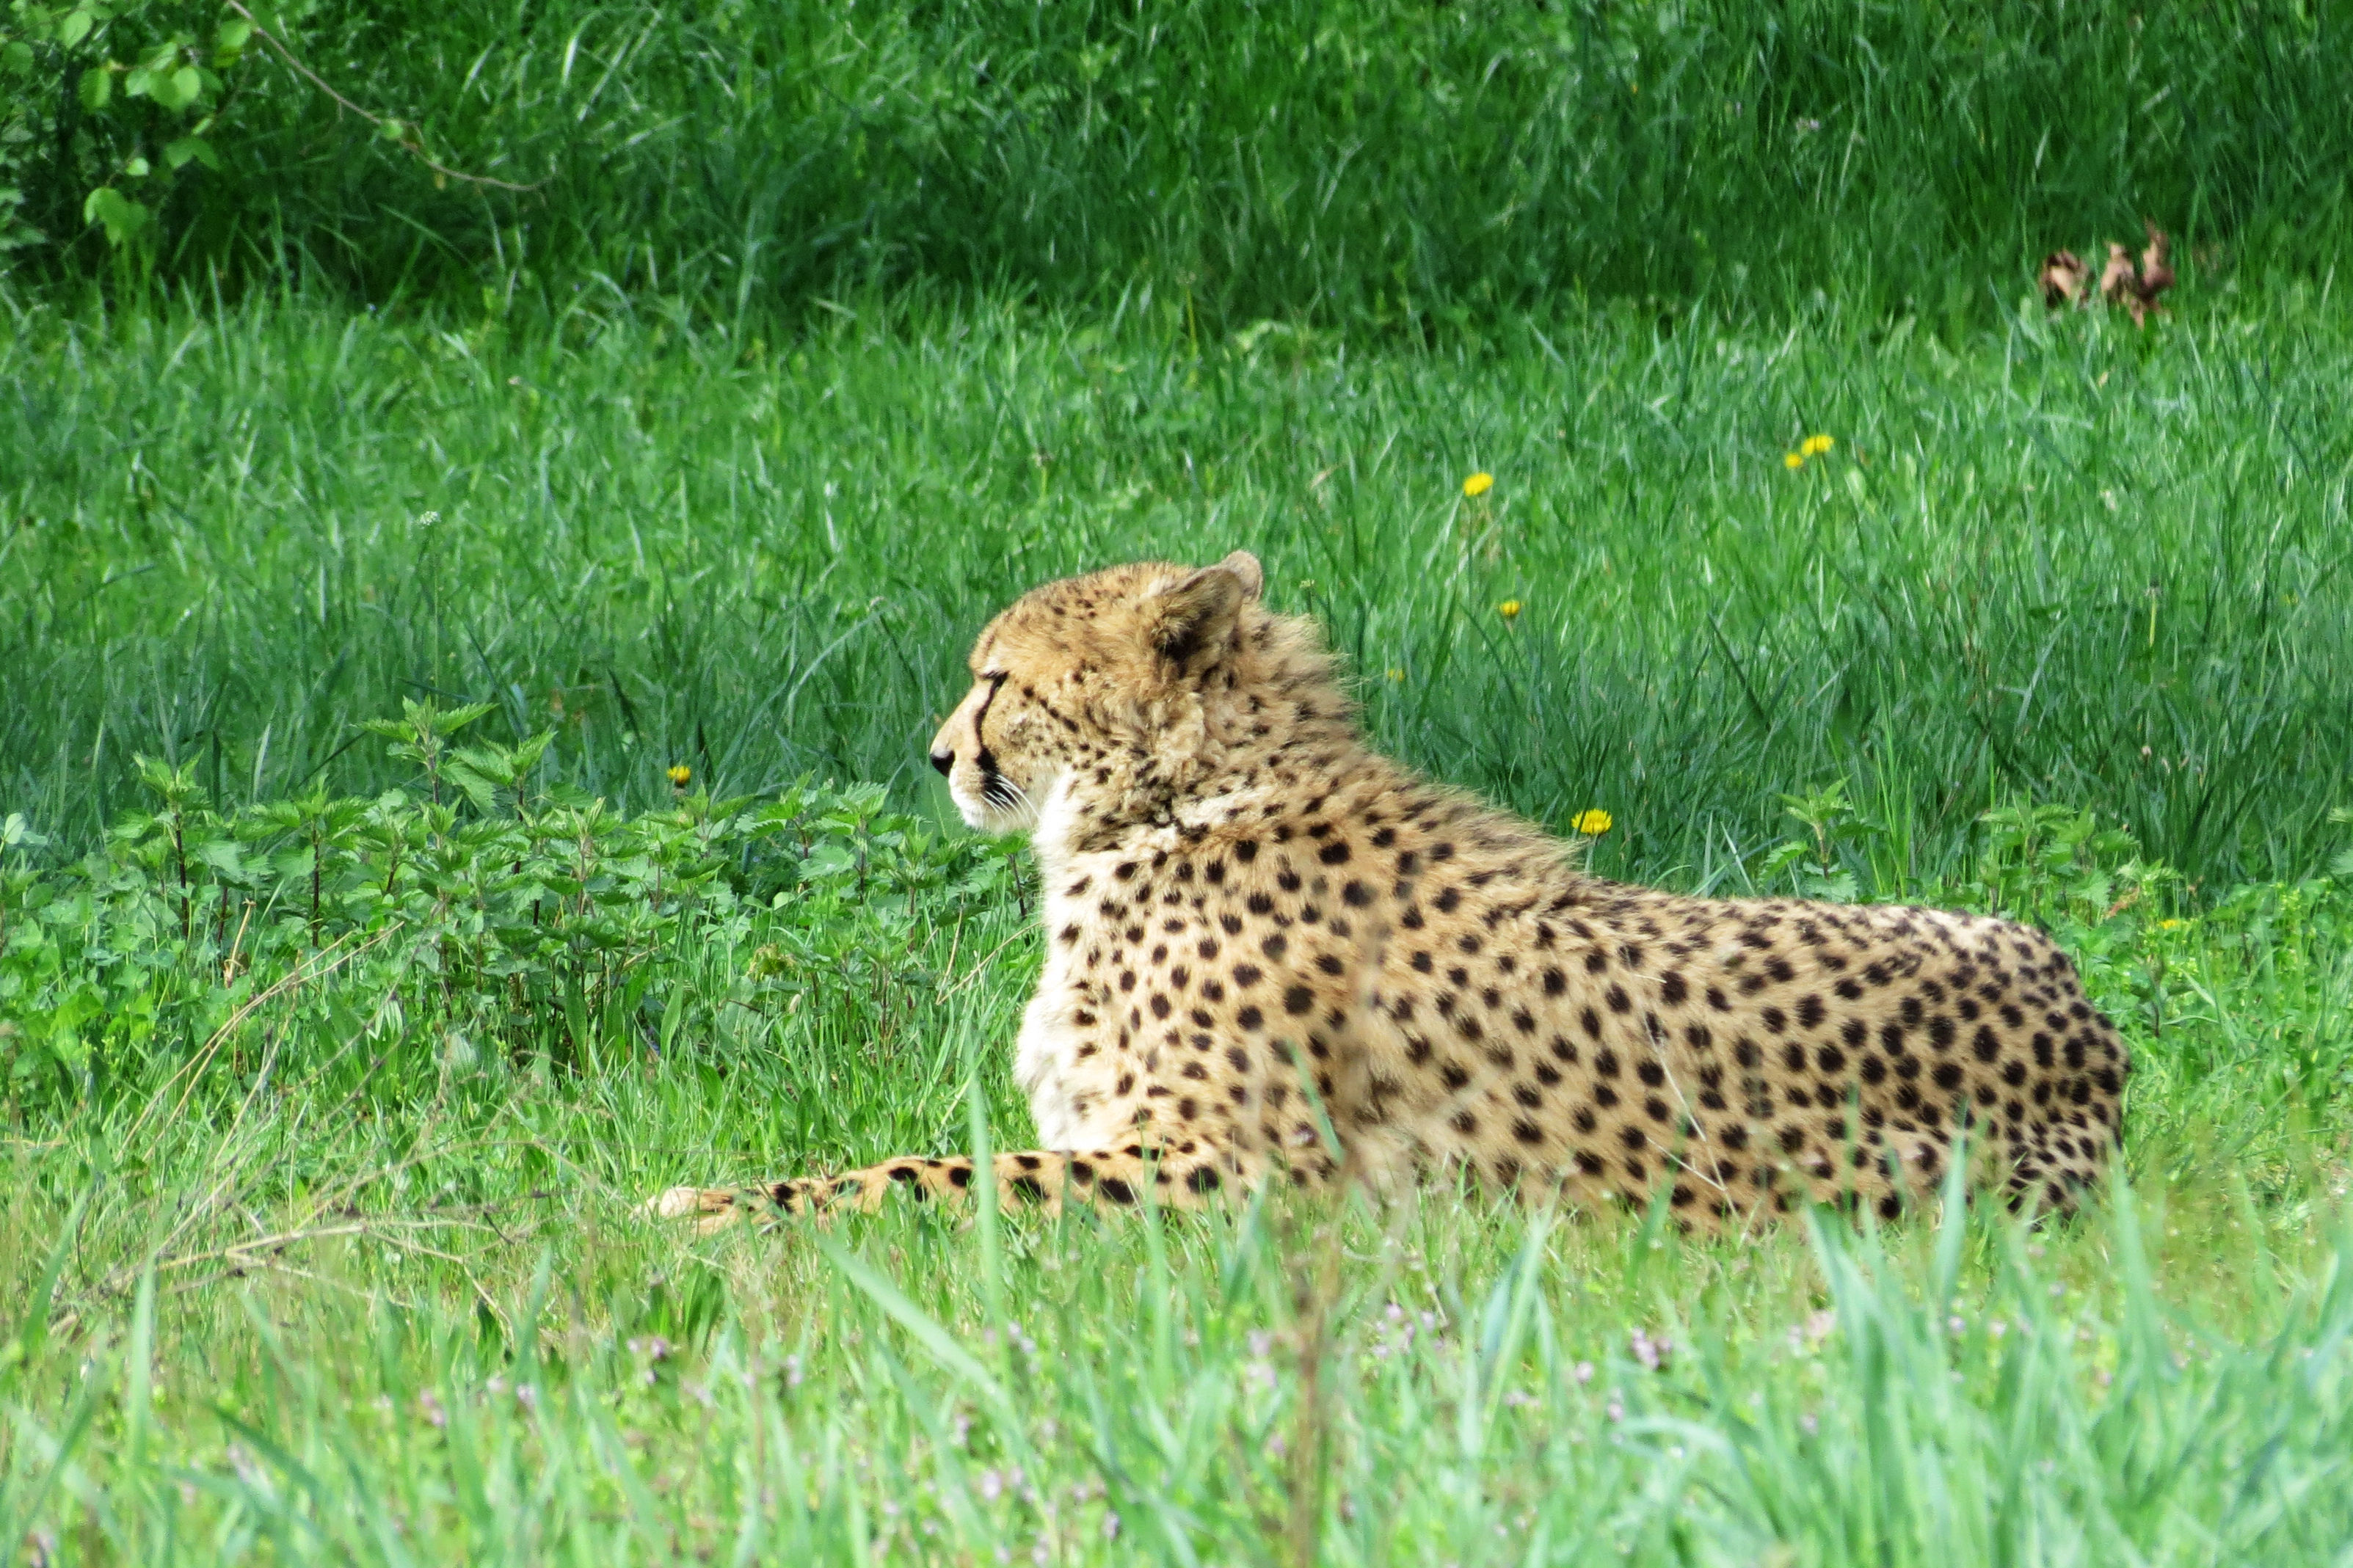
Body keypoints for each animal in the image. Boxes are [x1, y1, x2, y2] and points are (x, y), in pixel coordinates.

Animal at [652, 551, 2128, 1233]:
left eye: (998, 678)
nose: (939, 754)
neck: (1177, 799)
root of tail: (2091, 1044)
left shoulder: (1234, 1176)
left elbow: (923, 1176)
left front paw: (703, 1208)